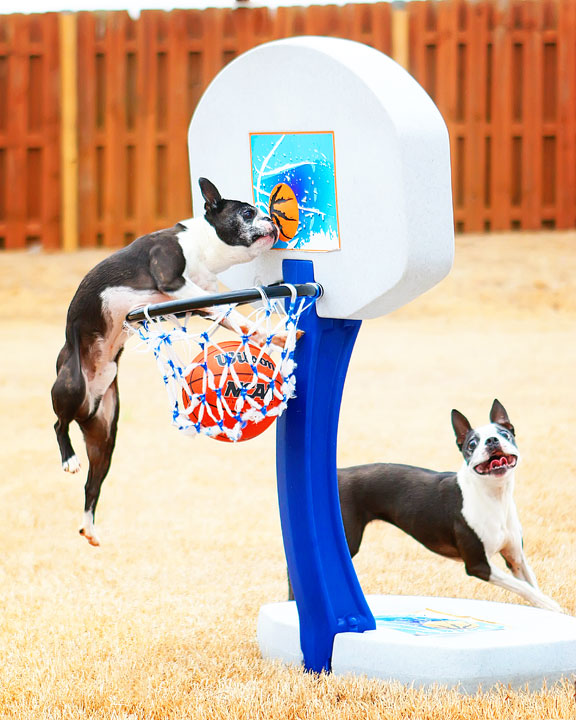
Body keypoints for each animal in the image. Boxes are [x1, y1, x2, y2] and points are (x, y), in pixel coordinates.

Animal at [51, 179, 280, 544]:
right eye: (247, 213)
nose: (271, 218)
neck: (202, 246)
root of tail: (87, 403)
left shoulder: (197, 304)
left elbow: (229, 315)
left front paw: (264, 333)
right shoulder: (173, 282)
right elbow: (223, 308)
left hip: (105, 436)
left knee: (92, 484)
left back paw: (89, 526)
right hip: (71, 383)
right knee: (59, 425)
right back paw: (69, 459)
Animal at [336, 402, 560, 612]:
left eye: (504, 434)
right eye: (472, 444)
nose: (492, 440)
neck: (494, 497)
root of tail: (340, 473)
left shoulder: (515, 559)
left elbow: (530, 586)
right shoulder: (478, 565)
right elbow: (524, 588)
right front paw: (552, 605)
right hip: (349, 542)